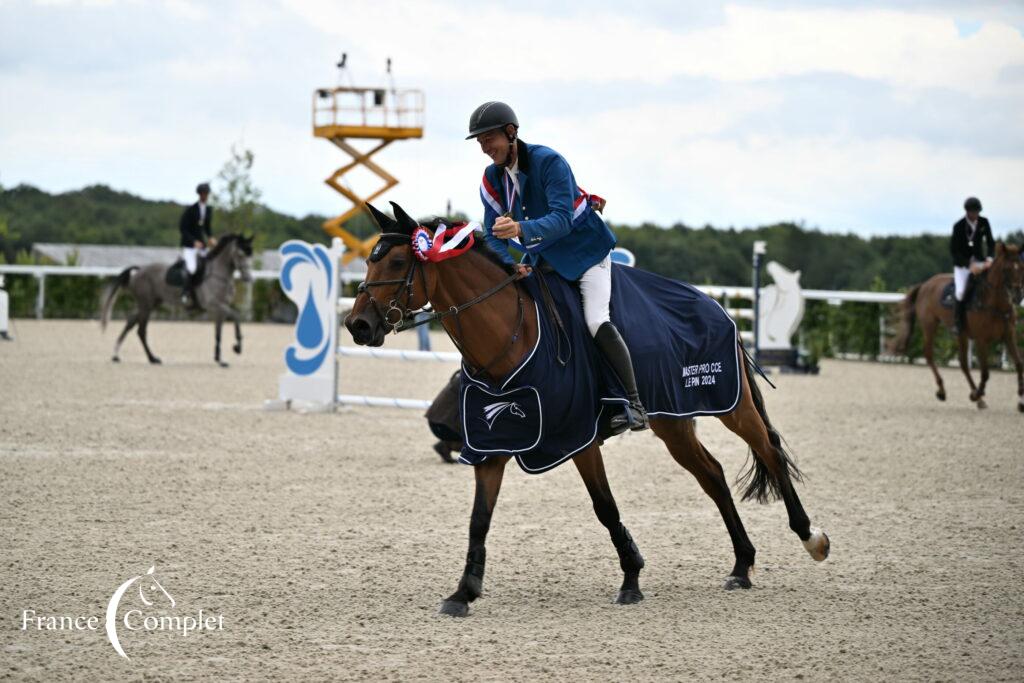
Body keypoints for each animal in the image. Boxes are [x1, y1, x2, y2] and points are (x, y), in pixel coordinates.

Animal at [98, 232, 254, 366]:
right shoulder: (214, 305)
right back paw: (152, 359)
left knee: (130, 322)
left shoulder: (220, 308)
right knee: (141, 331)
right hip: (146, 306)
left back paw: (117, 355)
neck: (219, 275)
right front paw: (237, 348)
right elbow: (236, 316)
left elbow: (218, 332)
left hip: (150, 304)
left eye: (250, 255)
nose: (249, 278)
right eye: (240, 254)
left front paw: (219, 358)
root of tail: (138, 271)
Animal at [344, 200, 831, 618]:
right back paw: (741, 566)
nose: (357, 325)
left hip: (730, 405)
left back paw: (811, 537)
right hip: (672, 423)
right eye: (368, 261)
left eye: (397, 263)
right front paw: (463, 592)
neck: (511, 334)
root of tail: (714, 304)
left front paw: (632, 579)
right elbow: (479, 519)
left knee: (768, 450)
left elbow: (605, 506)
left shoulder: (578, 437)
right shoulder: (493, 442)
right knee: (712, 475)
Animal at [888, 241, 1024, 411]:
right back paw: (943, 391)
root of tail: (926, 284)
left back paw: (976, 397)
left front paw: (1021, 401)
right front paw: (977, 394)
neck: (996, 304)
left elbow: (1019, 364)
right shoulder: (981, 339)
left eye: (1021, 267)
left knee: (963, 363)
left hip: (961, 334)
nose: (1018, 296)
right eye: (1006, 269)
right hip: (929, 325)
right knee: (929, 355)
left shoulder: (1008, 336)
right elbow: (985, 372)